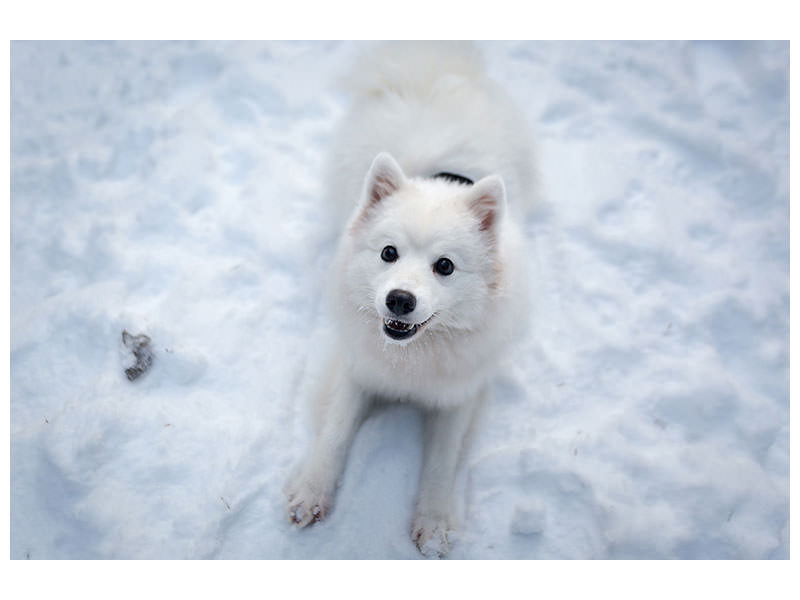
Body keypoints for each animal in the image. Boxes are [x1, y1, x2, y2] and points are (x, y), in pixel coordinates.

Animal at [284, 42, 536, 556]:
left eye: (445, 266)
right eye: (388, 253)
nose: (399, 300)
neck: (412, 357)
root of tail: (433, 69)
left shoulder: (459, 395)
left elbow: (442, 462)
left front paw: (434, 524)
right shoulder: (356, 370)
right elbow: (334, 433)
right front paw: (311, 493)